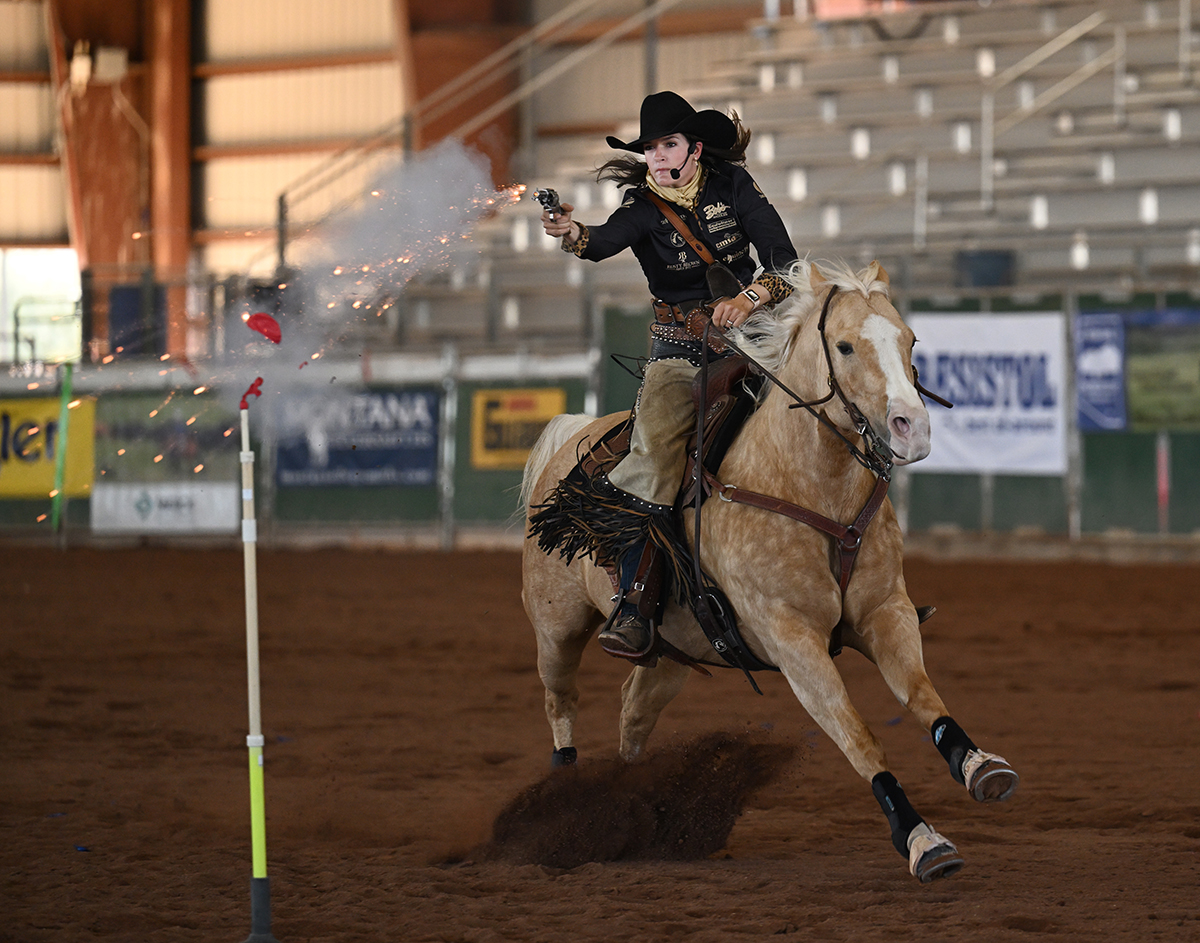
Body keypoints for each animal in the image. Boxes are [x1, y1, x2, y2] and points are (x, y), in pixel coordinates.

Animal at [520, 259, 1017, 883]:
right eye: (845, 346)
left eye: (909, 340)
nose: (913, 428)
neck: (808, 485)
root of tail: (573, 439)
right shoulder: (793, 640)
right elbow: (857, 735)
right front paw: (921, 838)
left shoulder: (888, 613)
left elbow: (924, 696)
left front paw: (979, 764)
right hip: (556, 627)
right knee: (559, 700)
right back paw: (563, 801)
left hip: (674, 652)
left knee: (633, 711)